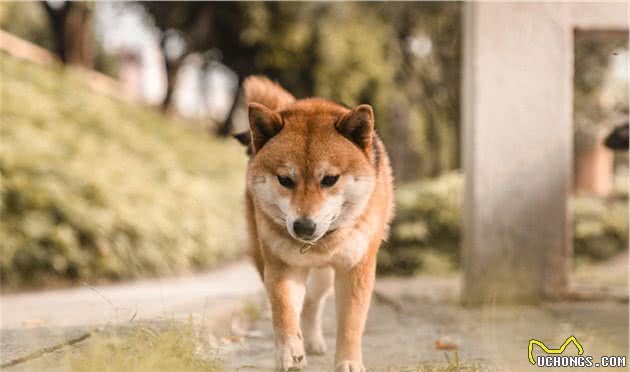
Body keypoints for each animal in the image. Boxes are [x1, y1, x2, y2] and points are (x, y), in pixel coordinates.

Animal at [237, 76, 396, 372]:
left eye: (330, 179)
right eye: (285, 180)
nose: (304, 227)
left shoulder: (356, 267)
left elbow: (350, 323)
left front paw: (348, 361)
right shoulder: (282, 266)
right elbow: (284, 311)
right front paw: (289, 352)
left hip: (325, 277)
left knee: (313, 303)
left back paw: (312, 342)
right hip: (266, 260)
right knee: (303, 305)